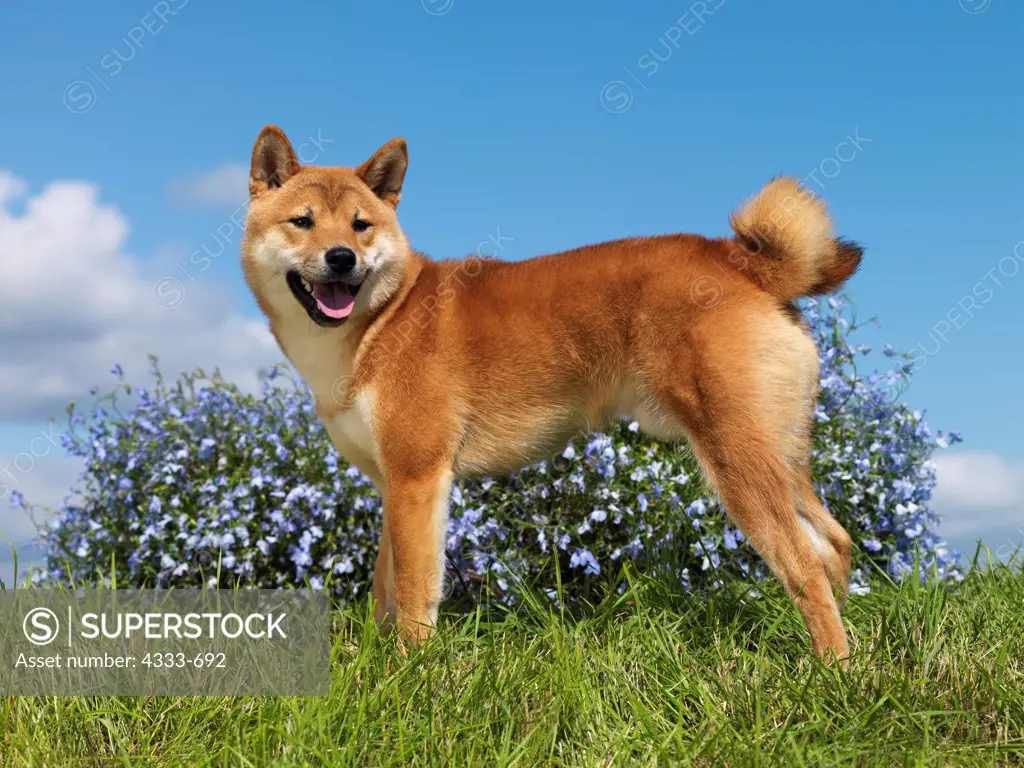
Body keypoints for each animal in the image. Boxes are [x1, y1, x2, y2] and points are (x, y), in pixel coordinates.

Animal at [241, 126, 864, 663]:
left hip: (736, 459)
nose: (341, 257)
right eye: (303, 221)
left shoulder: (418, 478)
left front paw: (409, 669)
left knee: (804, 563)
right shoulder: (394, 483)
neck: (381, 321)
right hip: (777, 452)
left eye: (360, 225)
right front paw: (374, 657)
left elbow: (415, 593)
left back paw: (836, 670)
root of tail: (739, 260)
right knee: (834, 542)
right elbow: (382, 589)